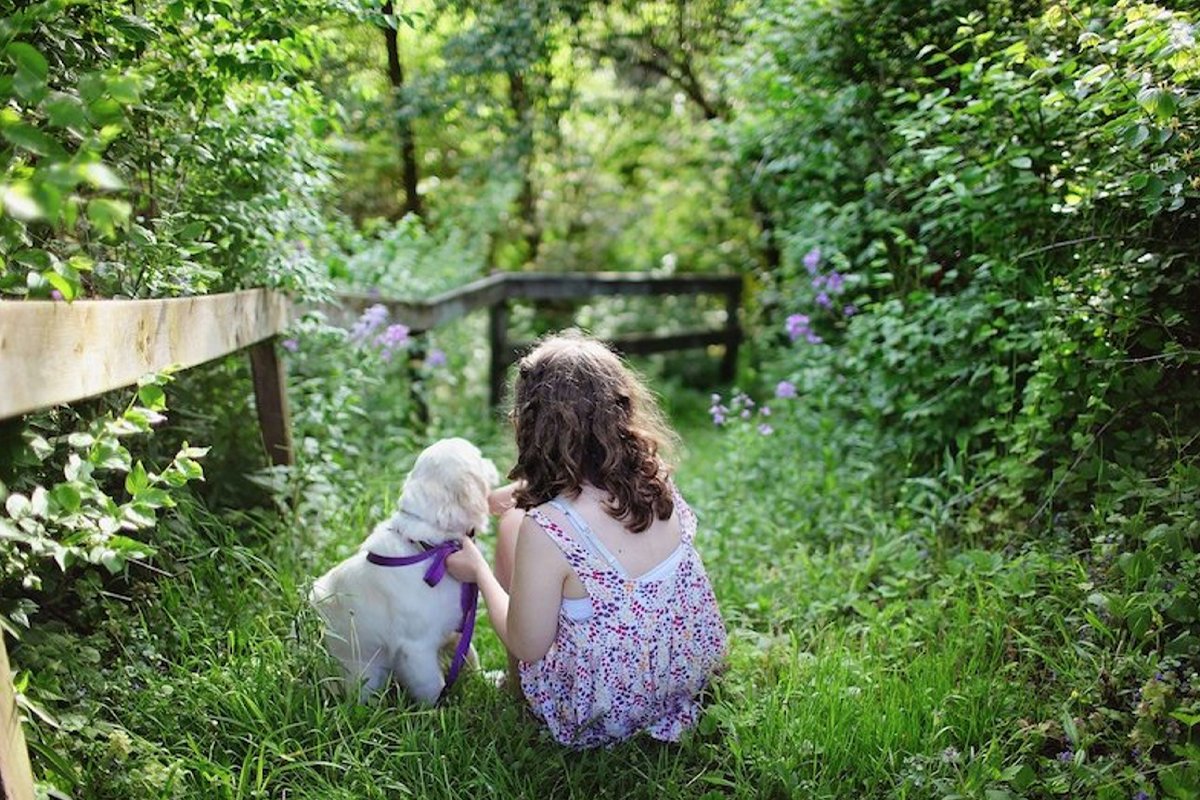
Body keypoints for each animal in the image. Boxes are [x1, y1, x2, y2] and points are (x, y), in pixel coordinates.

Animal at [312, 438, 499, 705]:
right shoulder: (416, 648)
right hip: (365, 675)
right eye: (479, 457)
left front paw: (487, 680)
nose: (492, 462)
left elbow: (470, 656)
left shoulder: (456, 628)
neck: (429, 548)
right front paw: (439, 710)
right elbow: (433, 686)